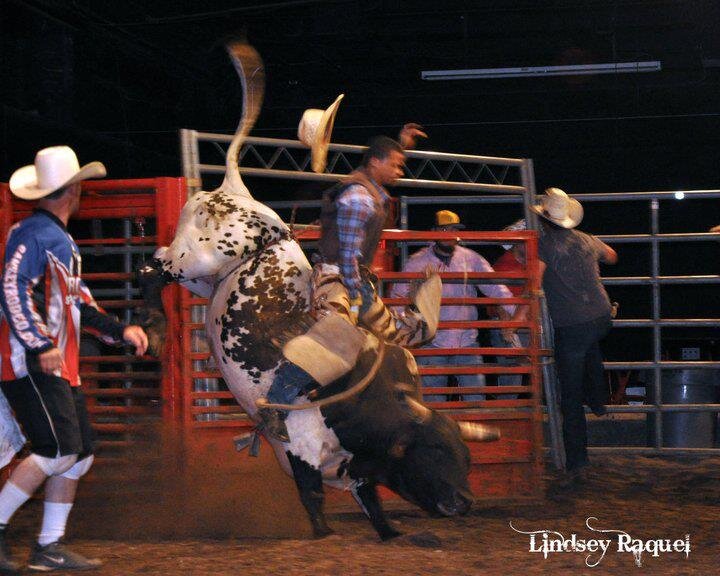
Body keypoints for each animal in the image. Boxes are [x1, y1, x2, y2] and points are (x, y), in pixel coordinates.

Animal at [141, 42, 500, 544]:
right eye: (432, 451)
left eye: (464, 456)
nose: (465, 502)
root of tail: (234, 189)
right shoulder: (302, 451)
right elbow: (314, 505)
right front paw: (324, 535)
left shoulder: (358, 471)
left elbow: (375, 509)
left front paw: (392, 533)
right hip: (193, 256)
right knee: (153, 267)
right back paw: (153, 328)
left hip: (205, 280)